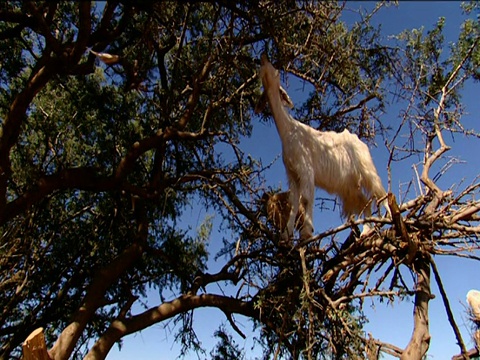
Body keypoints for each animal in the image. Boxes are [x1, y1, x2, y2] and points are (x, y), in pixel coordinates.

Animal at [255, 53, 386, 239]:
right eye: (261, 72)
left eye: (276, 72)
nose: (264, 56)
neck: (290, 130)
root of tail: (359, 141)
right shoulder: (292, 174)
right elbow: (294, 203)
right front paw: (286, 236)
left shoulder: (306, 169)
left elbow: (306, 199)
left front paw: (306, 232)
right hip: (350, 184)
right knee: (364, 202)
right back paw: (367, 231)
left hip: (367, 168)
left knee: (381, 193)